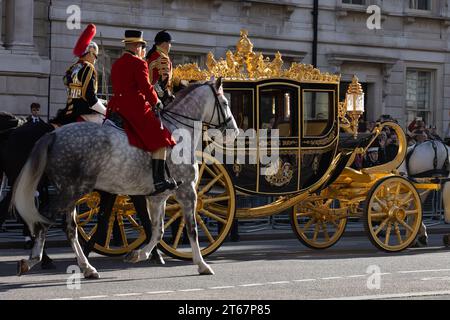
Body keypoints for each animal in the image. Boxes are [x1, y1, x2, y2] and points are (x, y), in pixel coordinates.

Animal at [11, 79, 239, 278]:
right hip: (71, 191)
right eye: (225, 103)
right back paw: (33, 260)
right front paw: (202, 264)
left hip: (70, 192)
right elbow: (191, 228)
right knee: (45, 219)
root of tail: (54, 134)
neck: (177, 132)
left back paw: (86, 267)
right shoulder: (188, 191)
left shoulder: (158, 196)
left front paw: (140, 254)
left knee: (69, 228)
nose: (234, 131)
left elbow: (157, 230)